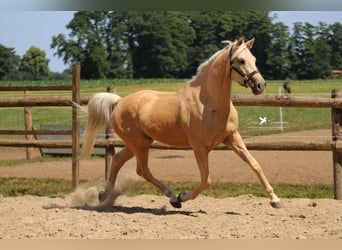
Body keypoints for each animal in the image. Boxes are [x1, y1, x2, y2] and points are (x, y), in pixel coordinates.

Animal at [82, 37, 280, 209]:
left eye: (253, 59)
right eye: (240, 60)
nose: (260, 85)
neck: (210, 104)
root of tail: (119, 102)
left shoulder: (232, 138)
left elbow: (255, 164)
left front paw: (275, 200)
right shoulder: (199, 146)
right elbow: (206, 180)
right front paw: (182, 197)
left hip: (138, 143)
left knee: (117, 161)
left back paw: (104, 194)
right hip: (139, 145)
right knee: (142, 170)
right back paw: (172, 197)